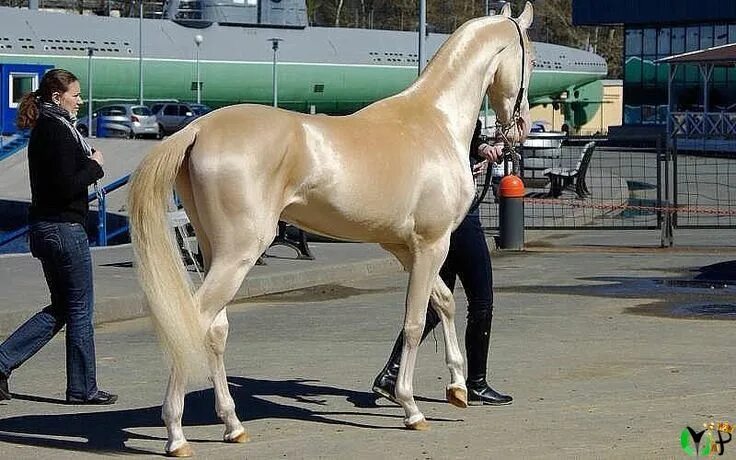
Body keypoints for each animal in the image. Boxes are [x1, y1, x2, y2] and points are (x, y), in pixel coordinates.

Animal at [128, 2, 536, 456]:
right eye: (531, 58)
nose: (521, 126)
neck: (434, 122)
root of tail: (198, 128)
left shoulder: (406, 249)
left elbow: (443, 304)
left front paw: (458, 387)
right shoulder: (432, 245)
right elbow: (414, 322)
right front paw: (411, 408)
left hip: (216, 253)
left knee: (216, 330)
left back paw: (233, 425)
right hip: (238, 255)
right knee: (191, 323)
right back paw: (176, 435)